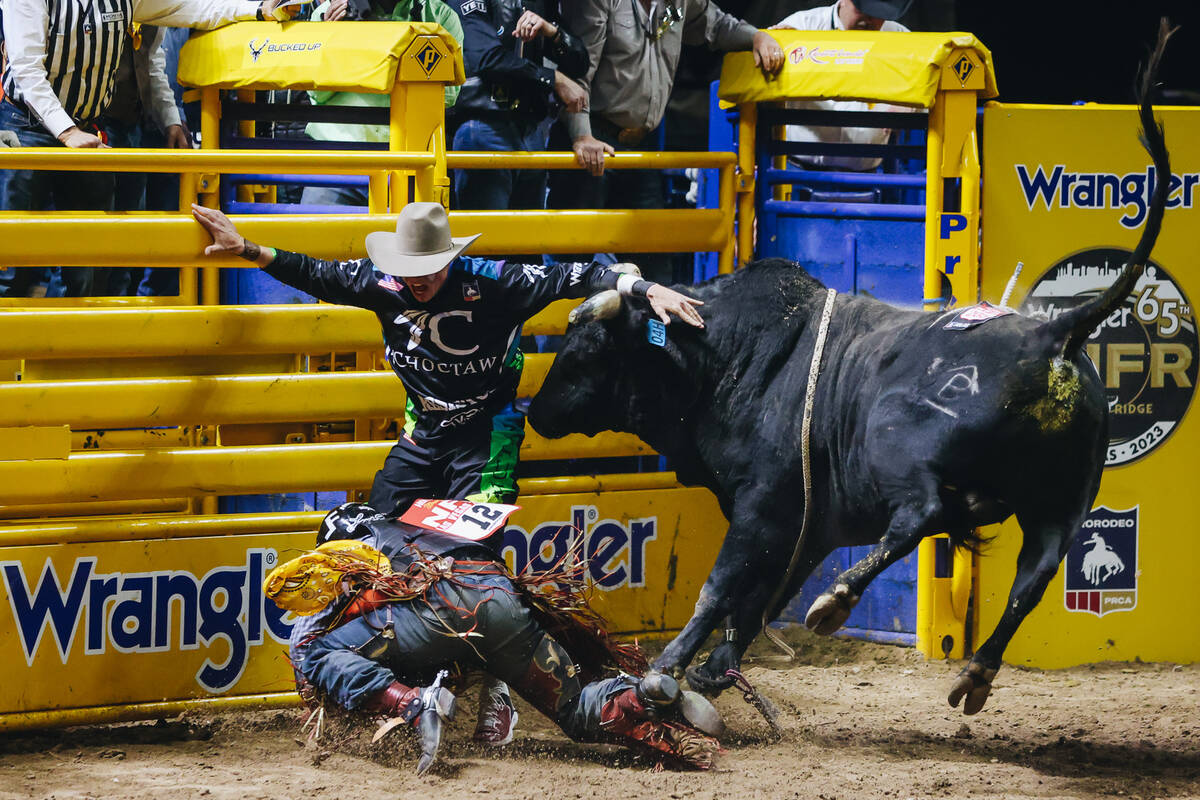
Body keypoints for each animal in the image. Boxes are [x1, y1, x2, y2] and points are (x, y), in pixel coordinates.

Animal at [528, 32, 1171, 719]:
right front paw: (712, 672)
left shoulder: (761, 505)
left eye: (583, 350)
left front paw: (665, 670)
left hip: (900, 450)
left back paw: (838, 602)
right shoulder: (807, 522)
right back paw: (975, 673)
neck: (730, 358)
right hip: (1059, 504)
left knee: (919, 514)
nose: (535, 412)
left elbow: (722, 588)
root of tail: (1054, 332)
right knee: (1035, 573)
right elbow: (759, 599)